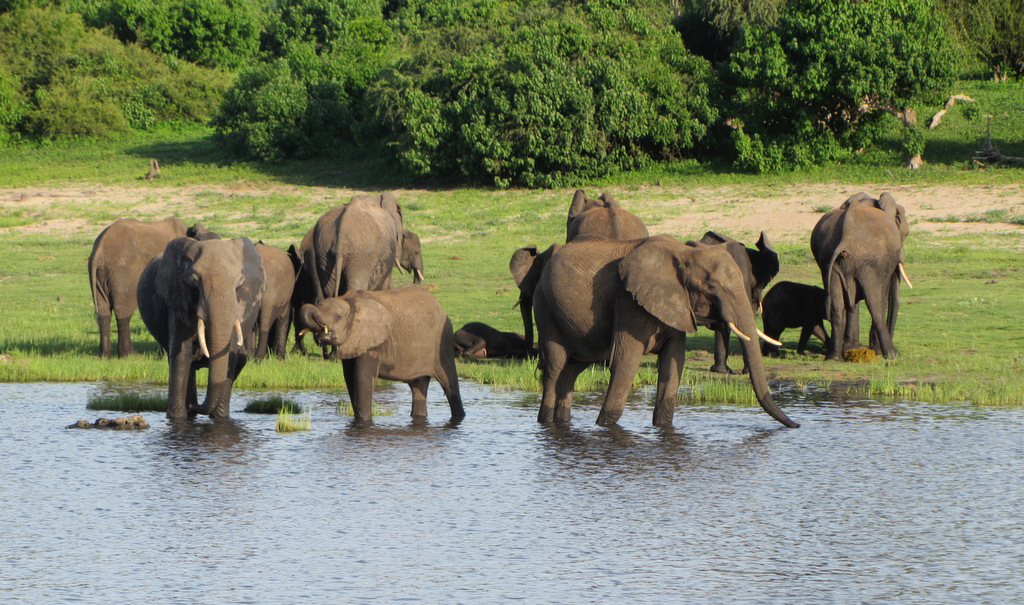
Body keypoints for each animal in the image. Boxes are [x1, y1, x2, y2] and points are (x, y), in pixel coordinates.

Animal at [138, 237, 266, 421]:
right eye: (194, 284)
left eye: (238, 285)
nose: (195, 406)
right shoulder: (177, 301)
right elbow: (181, 355)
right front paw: (177, 418)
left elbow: (231, 355)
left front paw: (219, 418)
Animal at [296, 284, 464, 421]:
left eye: (338, 317)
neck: (347, 300)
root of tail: (439, 305)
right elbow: (350, 380)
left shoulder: (373, 344)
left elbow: (362, 379)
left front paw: (364, 422)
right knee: (418, 387)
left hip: (443, 341)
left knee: (450, 385)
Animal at [806, 191, 913, 360]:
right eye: (906, 233)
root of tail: (845, 236)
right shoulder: (879, 265)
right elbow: (881, 295)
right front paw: (874, 351)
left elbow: (851, 301)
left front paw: (850, 350)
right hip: (869, 261)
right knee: (874, 303)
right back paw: (892, 354)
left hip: (832, 262)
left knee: (837, 307)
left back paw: (834, 357)